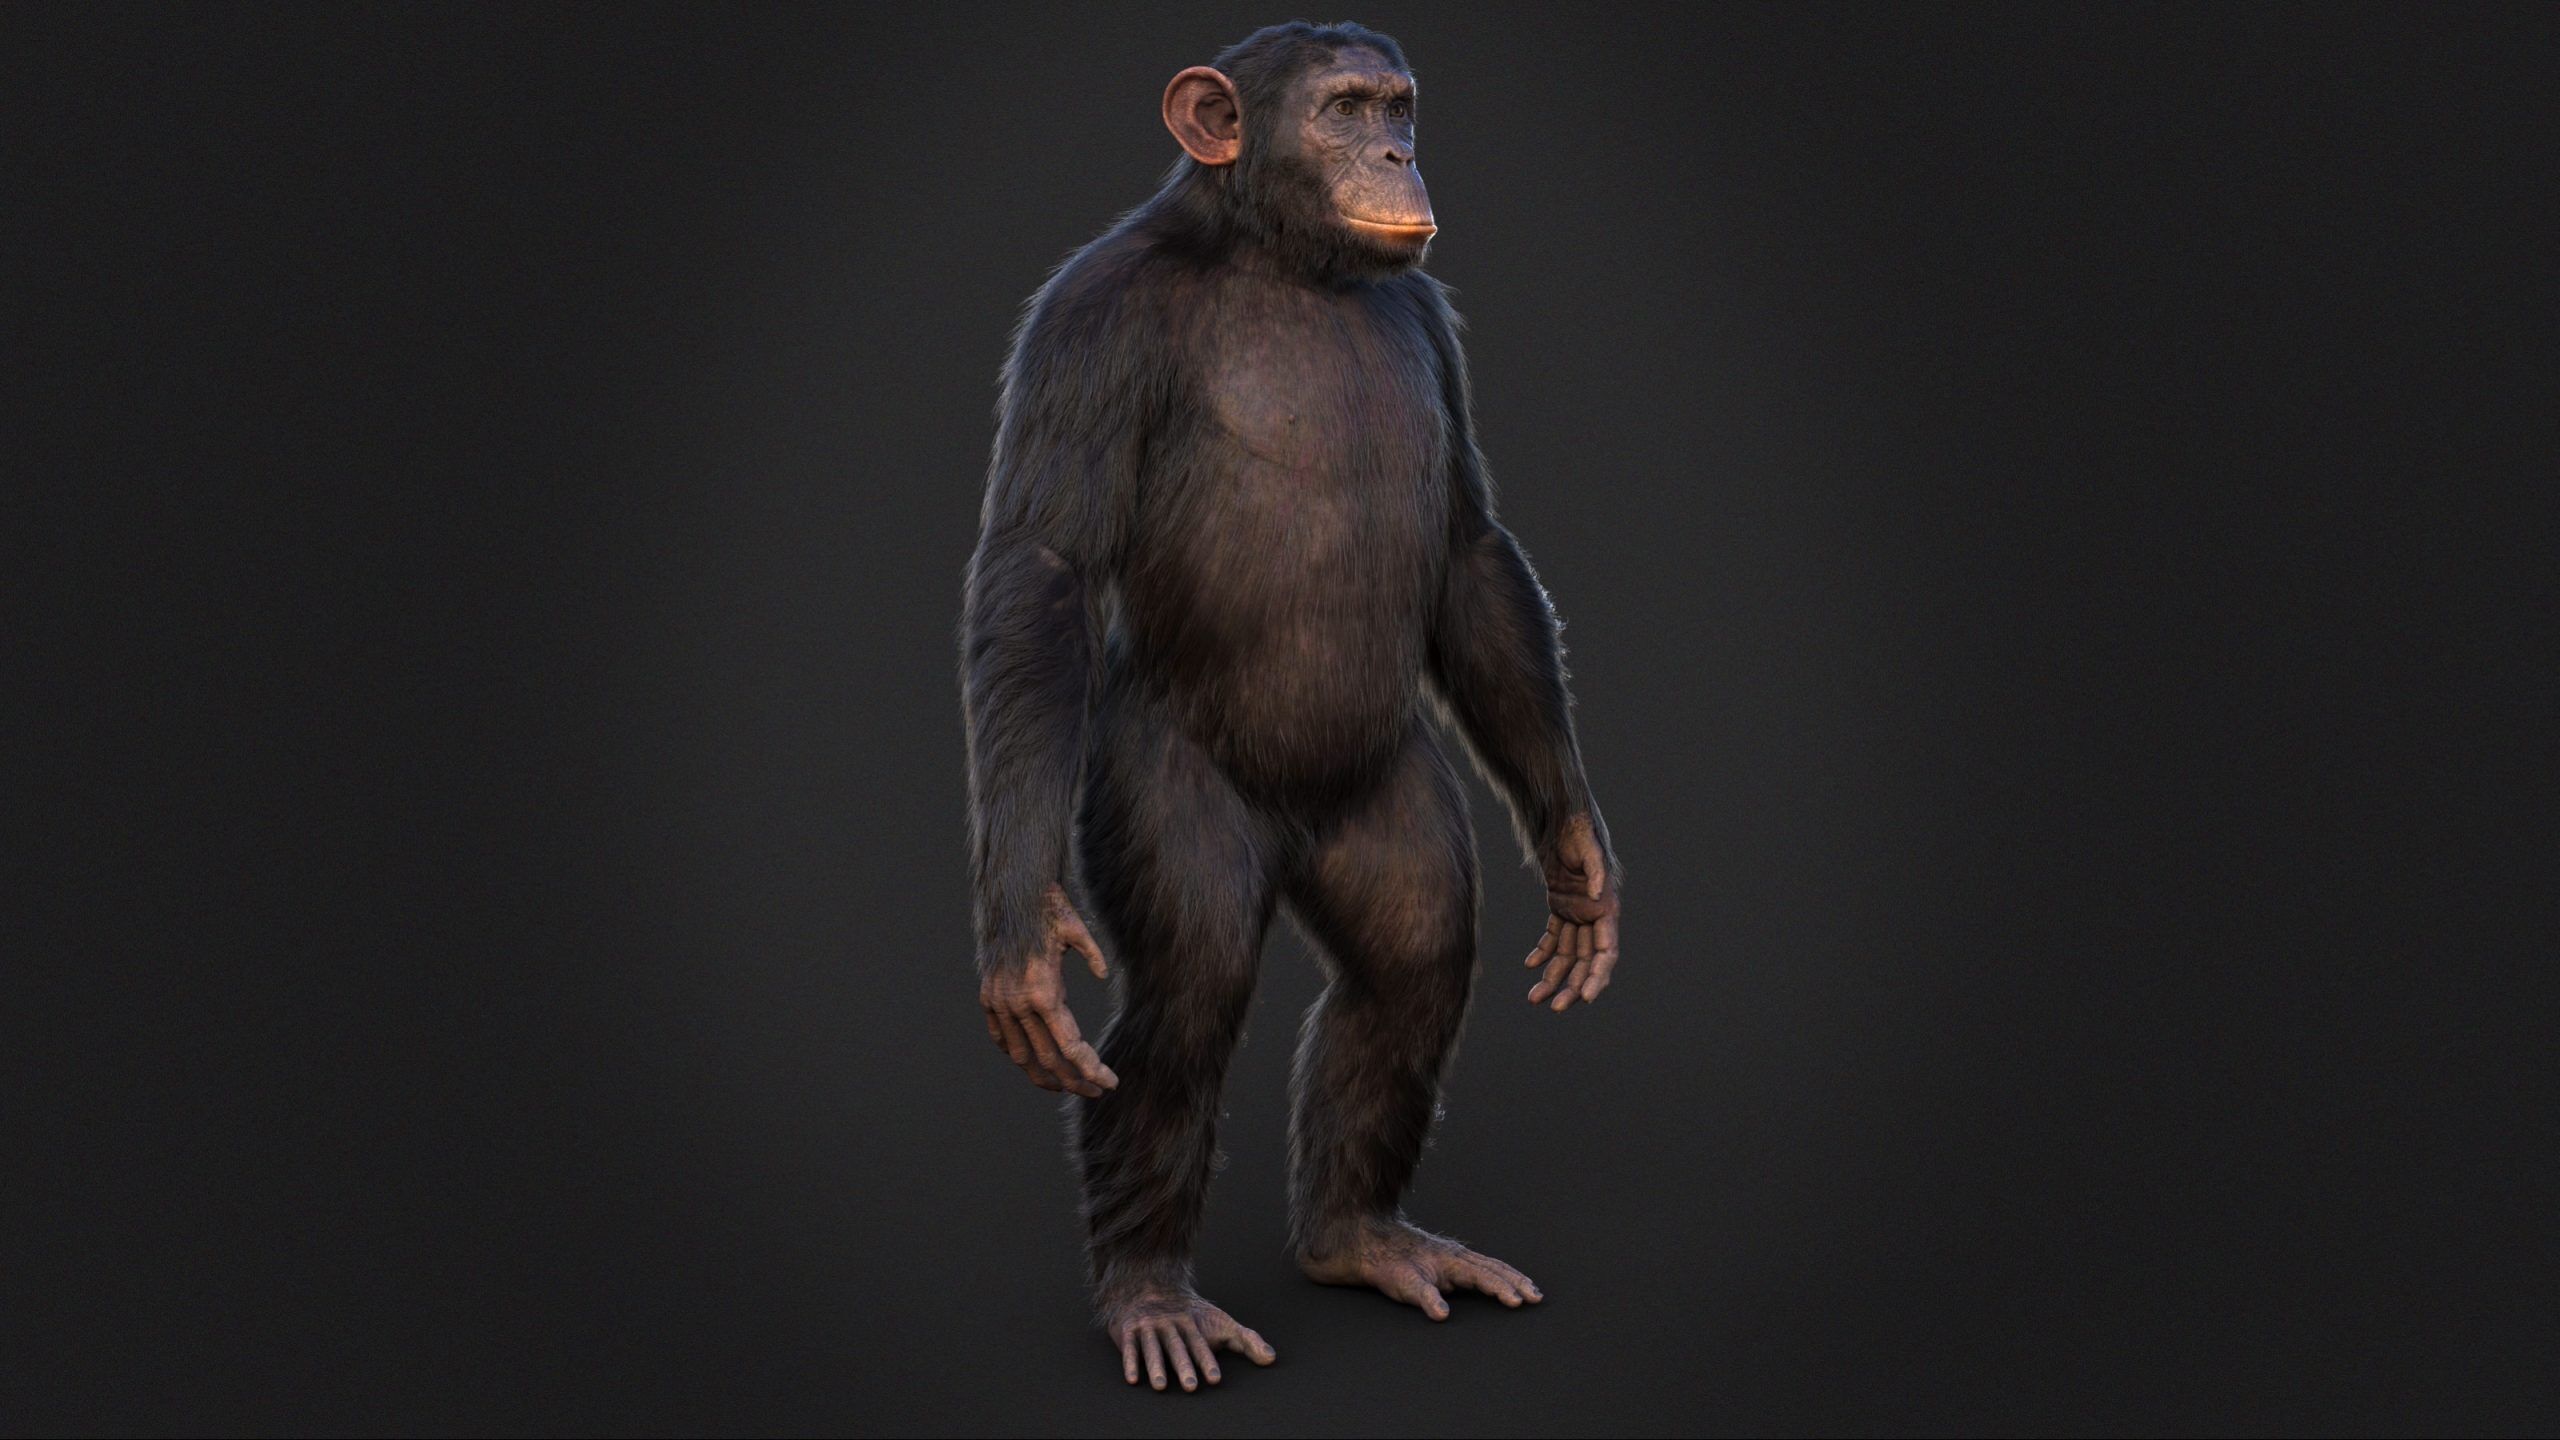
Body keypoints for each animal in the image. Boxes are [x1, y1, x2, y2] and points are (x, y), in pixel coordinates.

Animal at [958, 21, 1622, 1393]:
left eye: (1399, 105)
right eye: (1341, 110)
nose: (1398, 154)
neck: (1272, 254)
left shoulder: (1430, 315)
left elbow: (1470, 549)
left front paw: (1580, 858)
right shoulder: (1086, 321)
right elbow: (1043, 571)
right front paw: (1021, 937)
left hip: (1386, 799)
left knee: (1412, 961)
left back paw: (1360, 1239)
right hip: (1155, 782)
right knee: (1192, 990)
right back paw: (1152, 1297)